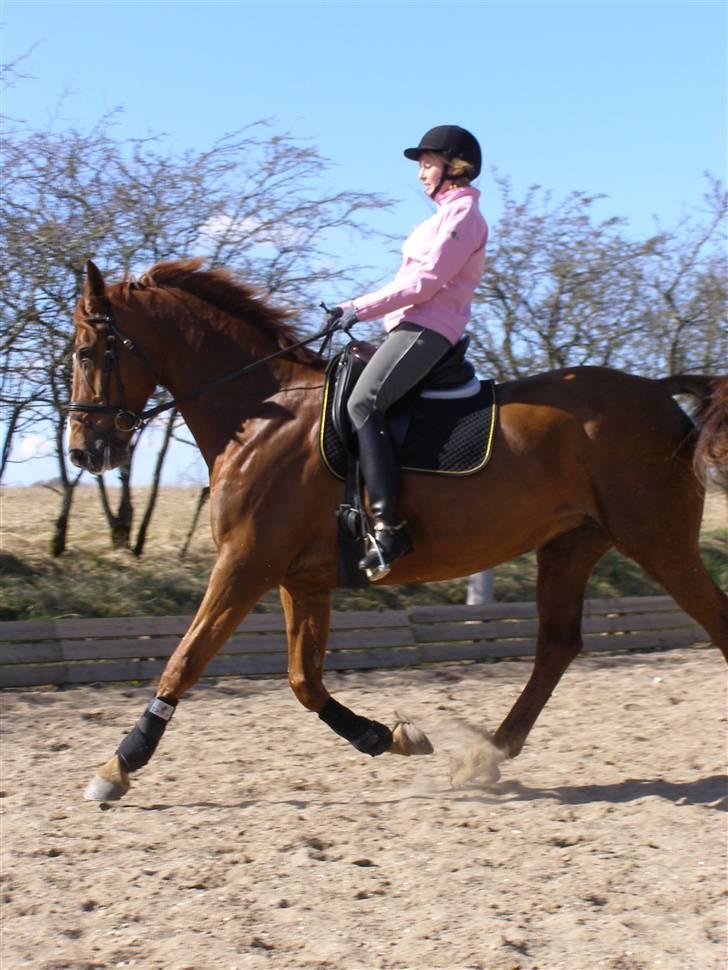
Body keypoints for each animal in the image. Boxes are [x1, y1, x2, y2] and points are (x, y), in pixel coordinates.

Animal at [67, 260, 724, 796]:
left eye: (87, 352)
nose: (82, 451)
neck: (261, 415)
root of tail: (658, 393)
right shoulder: (300, 579)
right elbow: (303, 681)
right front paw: (389, 737)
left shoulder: (245, 563)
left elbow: (187, 658)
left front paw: (118, 765)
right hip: (570, 545)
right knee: (558, 646)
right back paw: (486, 755)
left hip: (657, 541)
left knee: (711, 620)